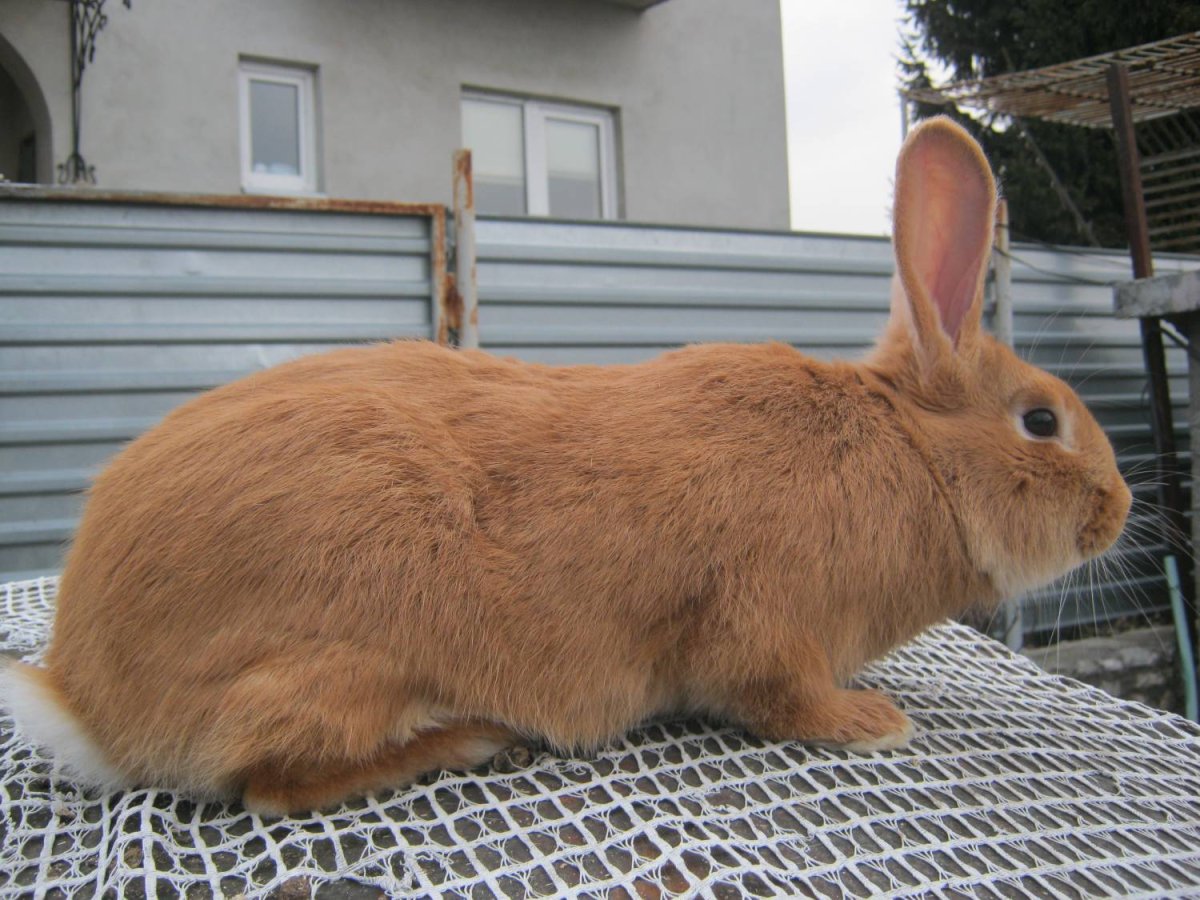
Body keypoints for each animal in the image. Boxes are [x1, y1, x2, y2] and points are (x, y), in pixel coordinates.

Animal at [0, 117, 1131, 815]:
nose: (1117, 511)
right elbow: (778, 695)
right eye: (1041, 422)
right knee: (269, 782)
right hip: (342, 651)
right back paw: (461, 741)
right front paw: (874, 724)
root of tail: (86, 697)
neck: (909, 449)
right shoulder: (764, 626)